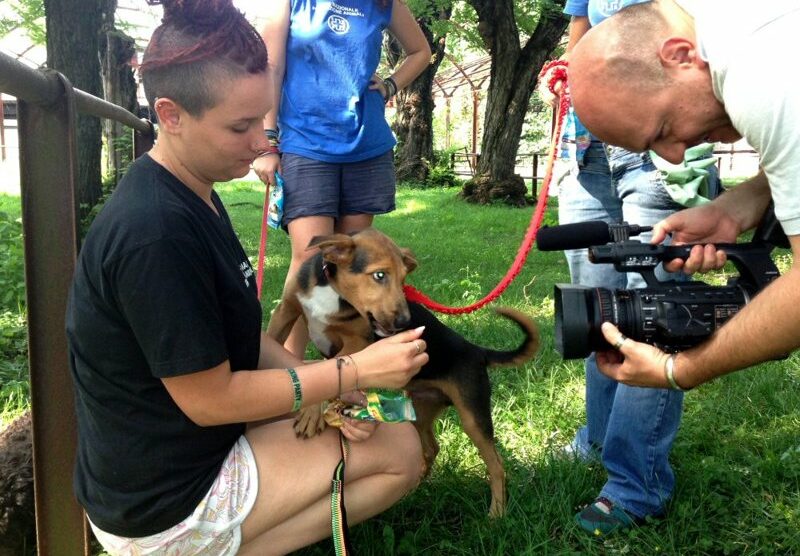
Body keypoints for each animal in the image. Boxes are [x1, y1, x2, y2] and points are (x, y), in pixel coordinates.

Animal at [266, 227, 540, 516]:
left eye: (403, 280)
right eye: (379, 275)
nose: (404, 323)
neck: (332, 292)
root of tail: (477, 351)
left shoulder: (358, 341)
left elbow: (329, 365)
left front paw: (311, 411)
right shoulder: (285, 311)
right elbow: (271, 339)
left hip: (473, 416)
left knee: (497, 466)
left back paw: (496, 514)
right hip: (421, 409)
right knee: (431, 448)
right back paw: (413, 490)